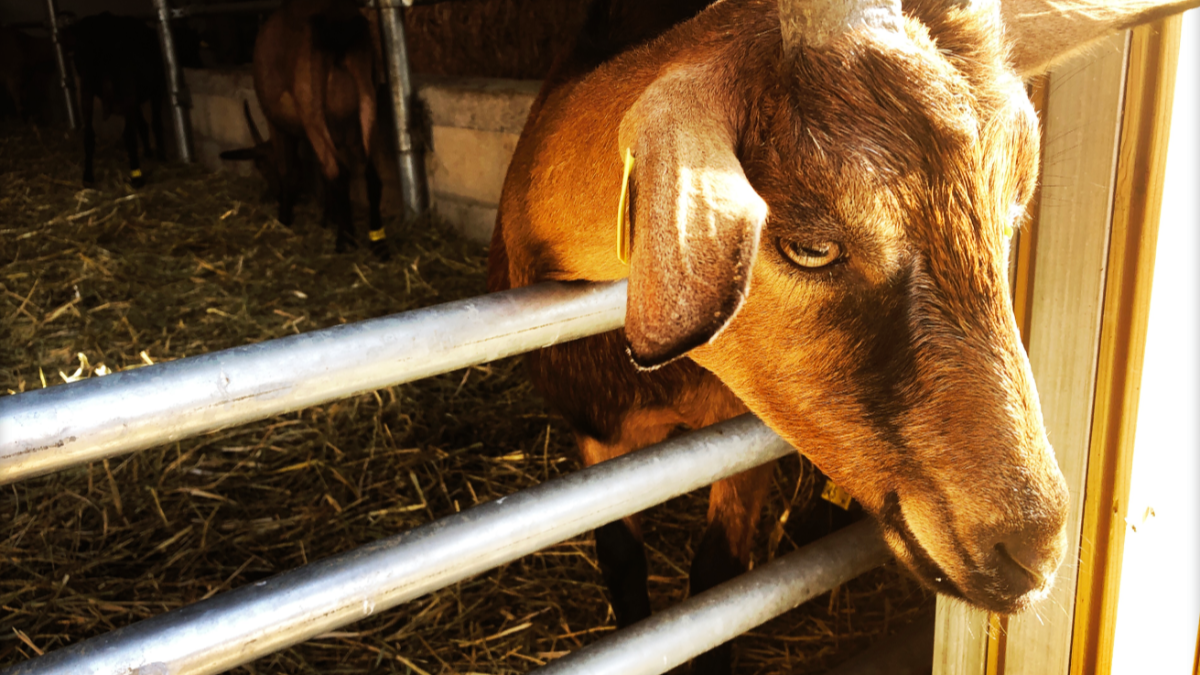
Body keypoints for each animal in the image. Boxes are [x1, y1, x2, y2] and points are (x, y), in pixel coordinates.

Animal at [248, 0, 388, 257]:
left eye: (261, 166)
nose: (272, 194)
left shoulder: (276, 124)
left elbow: (287, 168)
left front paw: (284, 217)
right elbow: (323, 174)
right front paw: (327, 218)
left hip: (311, 110)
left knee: (340, 173)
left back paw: (346, 239)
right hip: (366, 100)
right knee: (370, 175)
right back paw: (377, 240)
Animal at [489, 0, 1200, 667]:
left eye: (1012, 216)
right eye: (811, 247)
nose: (1034, 552)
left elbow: (717, 575)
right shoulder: (595, 434)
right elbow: (621, 563)